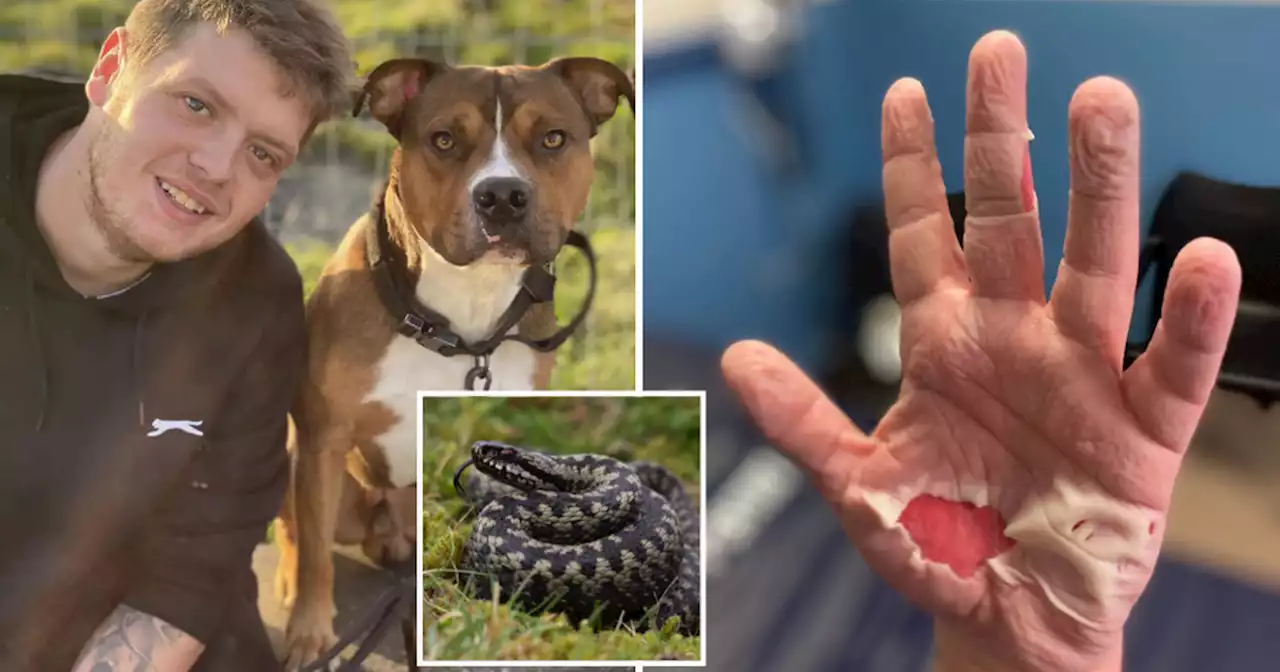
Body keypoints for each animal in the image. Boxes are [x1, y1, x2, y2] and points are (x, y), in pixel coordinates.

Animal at [272, 55, 632, 665]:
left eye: (553, 138)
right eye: (444, 139)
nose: (503, 195)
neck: (462, 313)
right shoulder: (323, 439)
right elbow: (316, 553)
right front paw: (309, 635)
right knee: (297, 530)